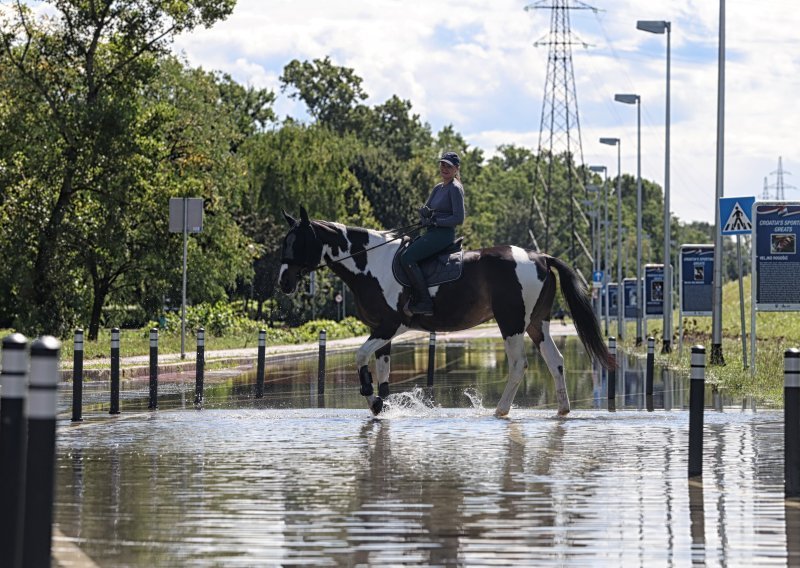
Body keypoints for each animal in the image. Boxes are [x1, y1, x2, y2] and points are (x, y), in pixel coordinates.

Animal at [278, 206, 616, 414]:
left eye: (298, 242)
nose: (283, 282)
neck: (371, 263)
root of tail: (541, 257)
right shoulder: (381, 330)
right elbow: (383, 369)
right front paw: (380, 401)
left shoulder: (390, 325)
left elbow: (360, 356)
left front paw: (371, 396)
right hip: (537, 323)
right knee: (555, 361)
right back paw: (562, 409)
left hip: (511, 323)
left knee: (520, 364)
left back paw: (501, 410)